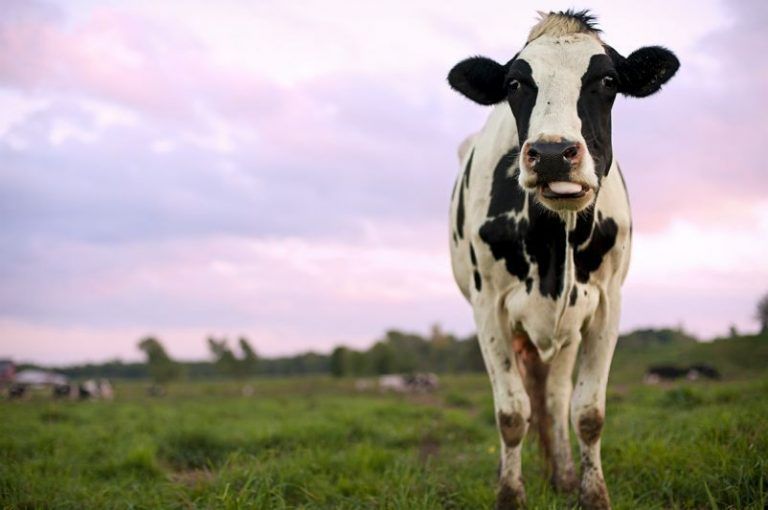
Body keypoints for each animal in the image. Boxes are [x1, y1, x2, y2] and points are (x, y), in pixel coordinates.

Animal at [446, 10, 678, 509]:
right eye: (515, 83)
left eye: (608, 80)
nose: (553, 153)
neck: (555, 239)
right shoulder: (488, 307)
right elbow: (511, 413)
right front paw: (509, 495)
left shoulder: (607, 303)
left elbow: (587, 412)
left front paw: (592, 494)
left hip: (570, 327)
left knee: (553, 397)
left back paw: (565, 475)